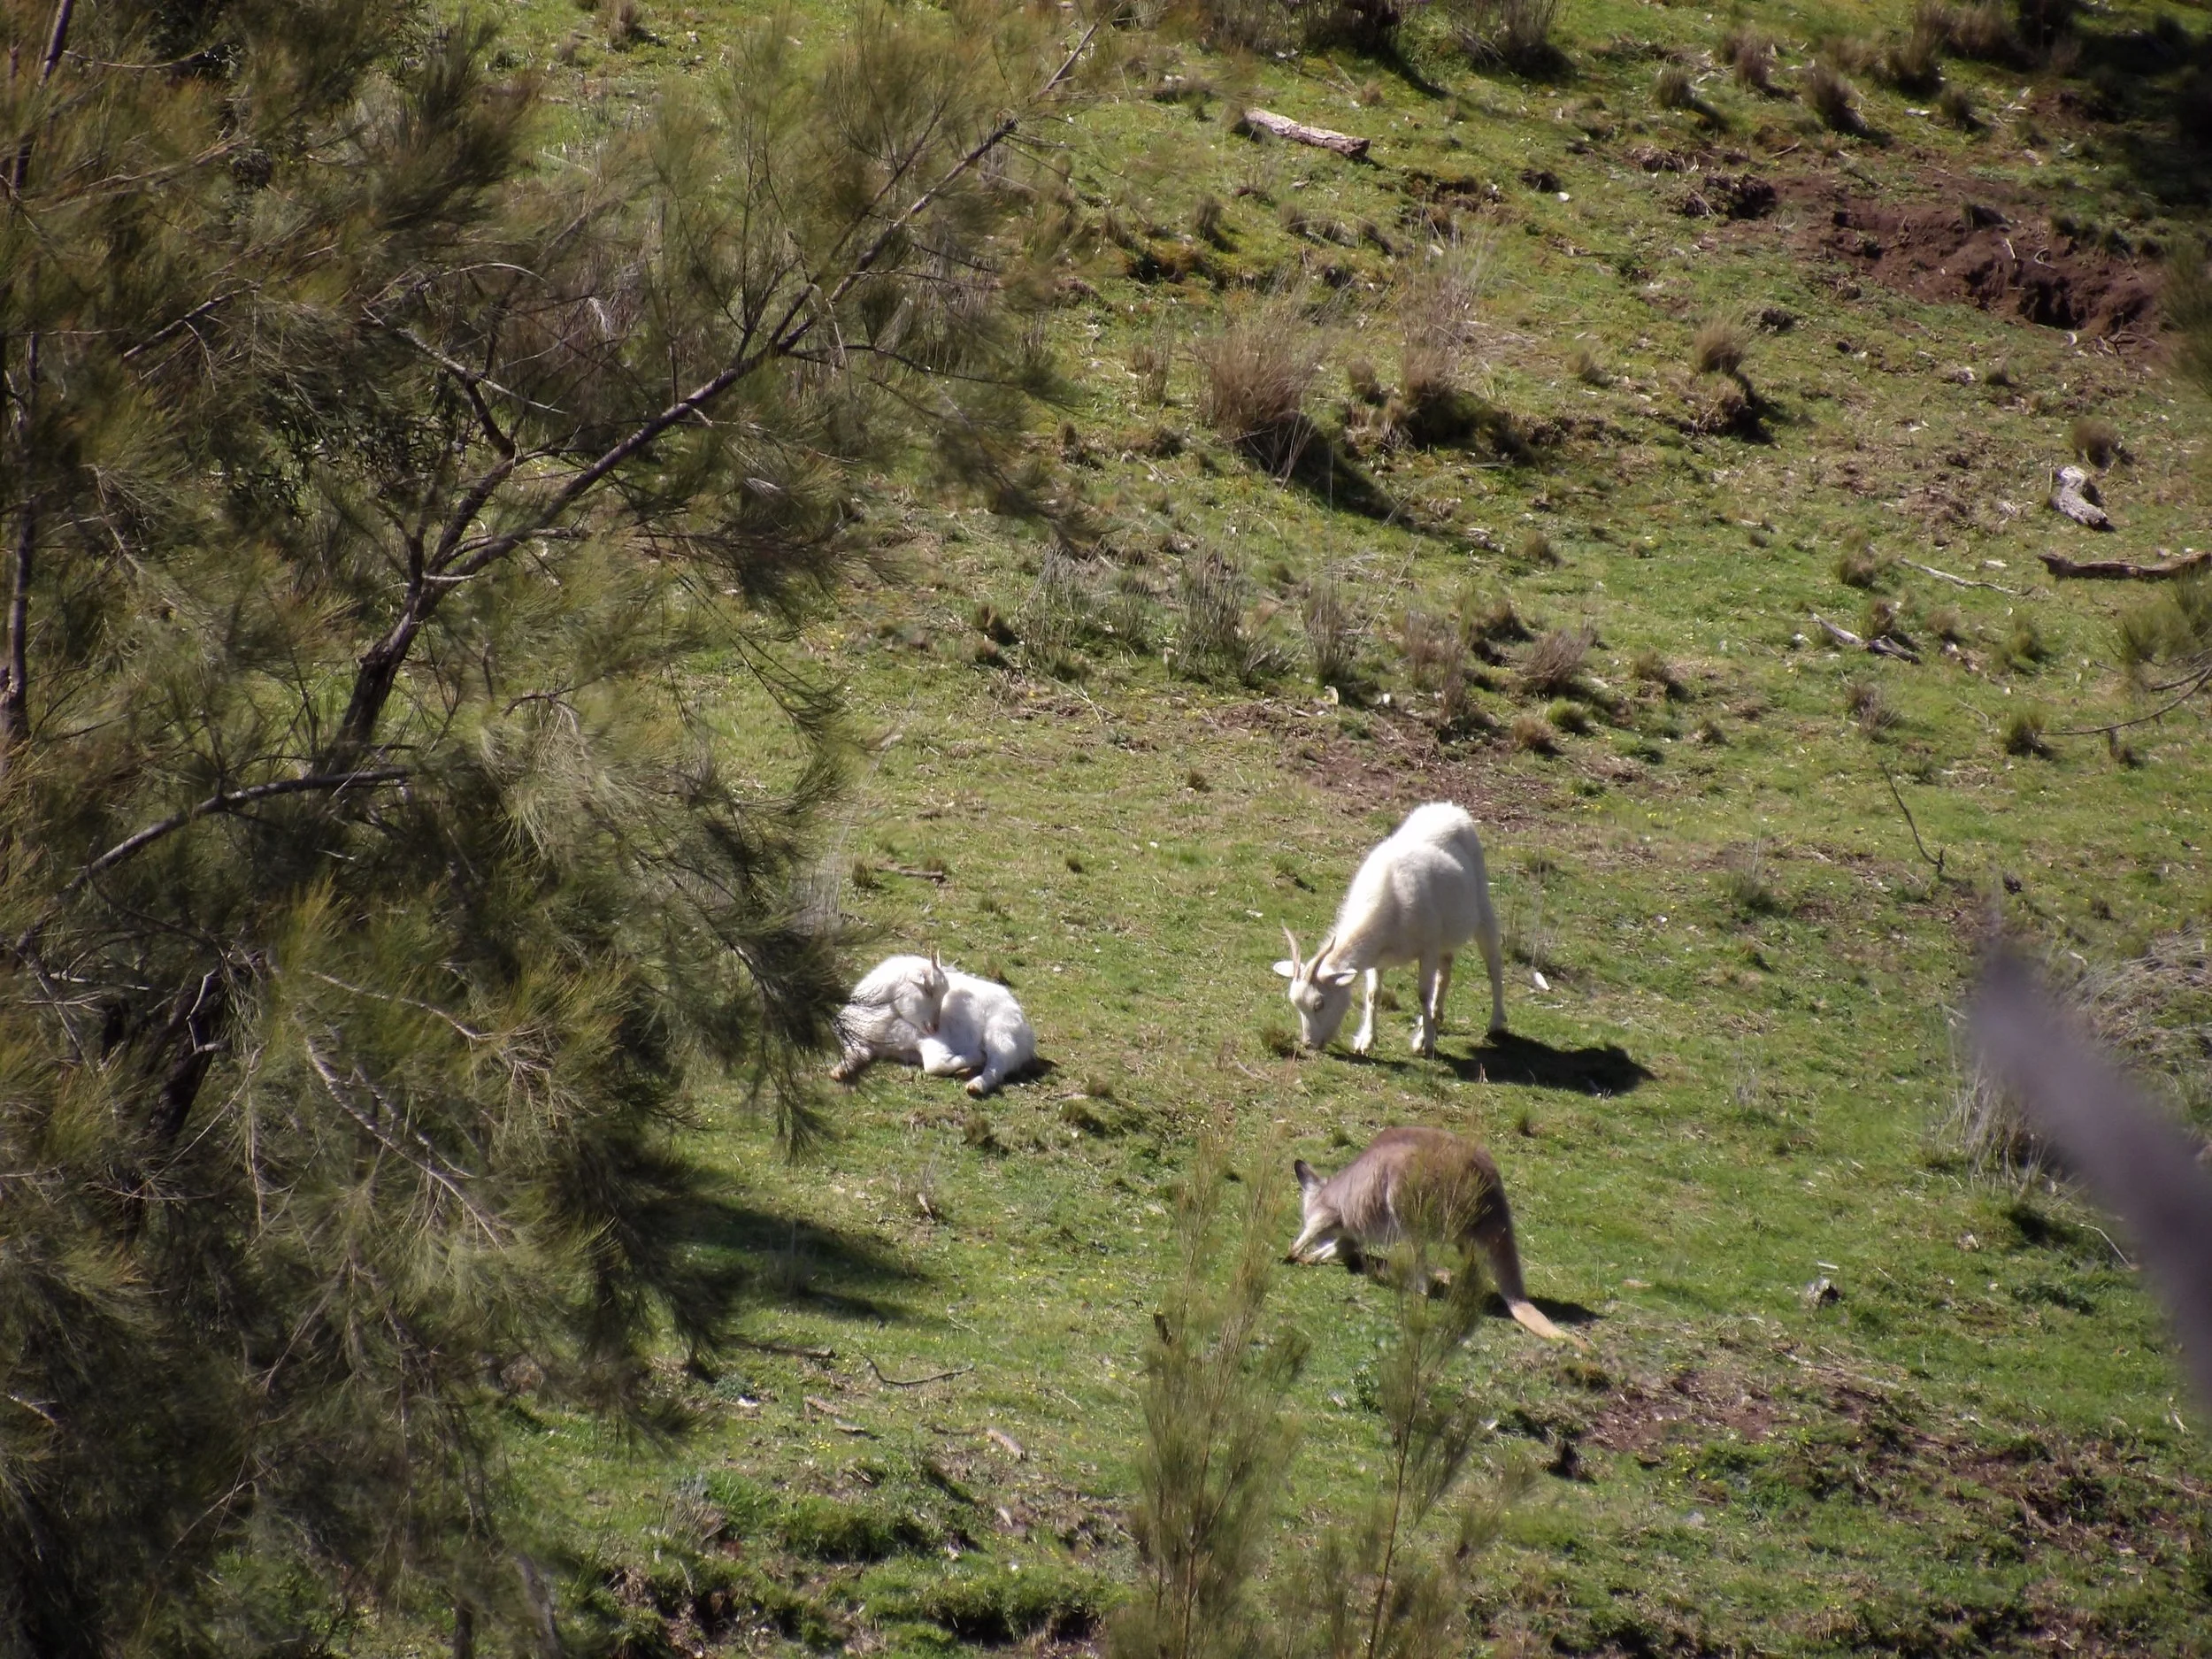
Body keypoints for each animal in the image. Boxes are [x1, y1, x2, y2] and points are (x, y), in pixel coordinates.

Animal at [830, 951, 1035, 1097]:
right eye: (928, 990)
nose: (934, 1027)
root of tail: (1027, 1034)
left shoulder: (929, 1040)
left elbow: (936, 1065)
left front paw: (976, 1056)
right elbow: (855, 1054)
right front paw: (838, 1071)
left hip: (1000, 1034)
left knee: (997, 1066)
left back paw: (976, 1083)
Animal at [1274, 801, 1504, 1057]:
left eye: (1319, 1004)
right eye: (1296, 1004)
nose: (1308, 1044)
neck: (1388, 895)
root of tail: (1450, 807)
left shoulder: (1428, 948)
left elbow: (1423, 994)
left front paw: (1425, 1042)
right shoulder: (1378, 956)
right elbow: (1373, 994)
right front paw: (1367, 1041)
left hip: (1482, 907)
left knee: (1493, 964)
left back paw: (1495, 1022)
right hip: (1446, 935)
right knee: (1446, 972)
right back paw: (1436, 1016)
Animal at [1288, 1127, 1573, 1342]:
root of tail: (1489, 1186)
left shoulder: (1330, 1215)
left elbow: (1312, 1236)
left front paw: (1295, 1255)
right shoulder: (1351, 1234)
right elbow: (1339, 1248)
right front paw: (1312, 1257)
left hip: (1409, 1199)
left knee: (1423, 1279)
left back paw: (1407, 1283)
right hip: (1455, 1229)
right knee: (1467, 1261)